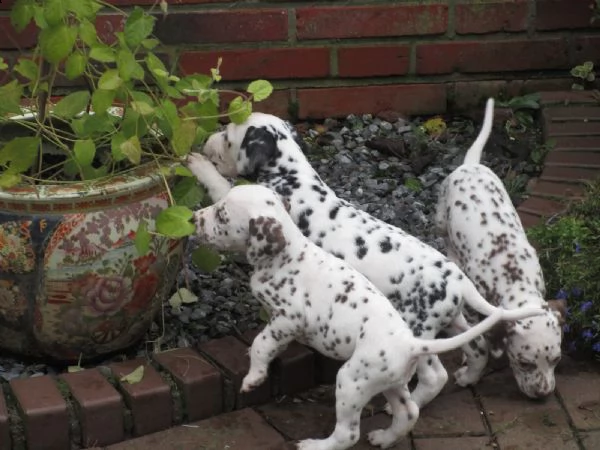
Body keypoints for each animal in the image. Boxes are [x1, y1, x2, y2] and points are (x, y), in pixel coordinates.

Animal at [190, 108, 548, 408]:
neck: (291, 177)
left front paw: (196, 163)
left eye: (227, 136)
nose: (206, 142)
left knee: (435, 375)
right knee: (477, 347)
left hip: (417, 327)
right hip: (452, 320)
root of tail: (459, 280)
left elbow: (219, 189)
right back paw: (466, 377)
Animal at [192, 183, 544, 450]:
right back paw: (385, 438)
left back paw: (316, 445)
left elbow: (263, 342)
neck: (287, 254)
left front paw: (254, 377)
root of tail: (411, 344)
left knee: (349, 433)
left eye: (222, 214)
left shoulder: (287, 319)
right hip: (390, 381)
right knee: (409, 411)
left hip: (351, 380)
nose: (194, 218)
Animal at [434, 98, 564, 398]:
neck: (514, 276)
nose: (543, 394)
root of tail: (471, 165)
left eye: (556, 359)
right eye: (525, 363)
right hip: (441, 218)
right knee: (445, 238)